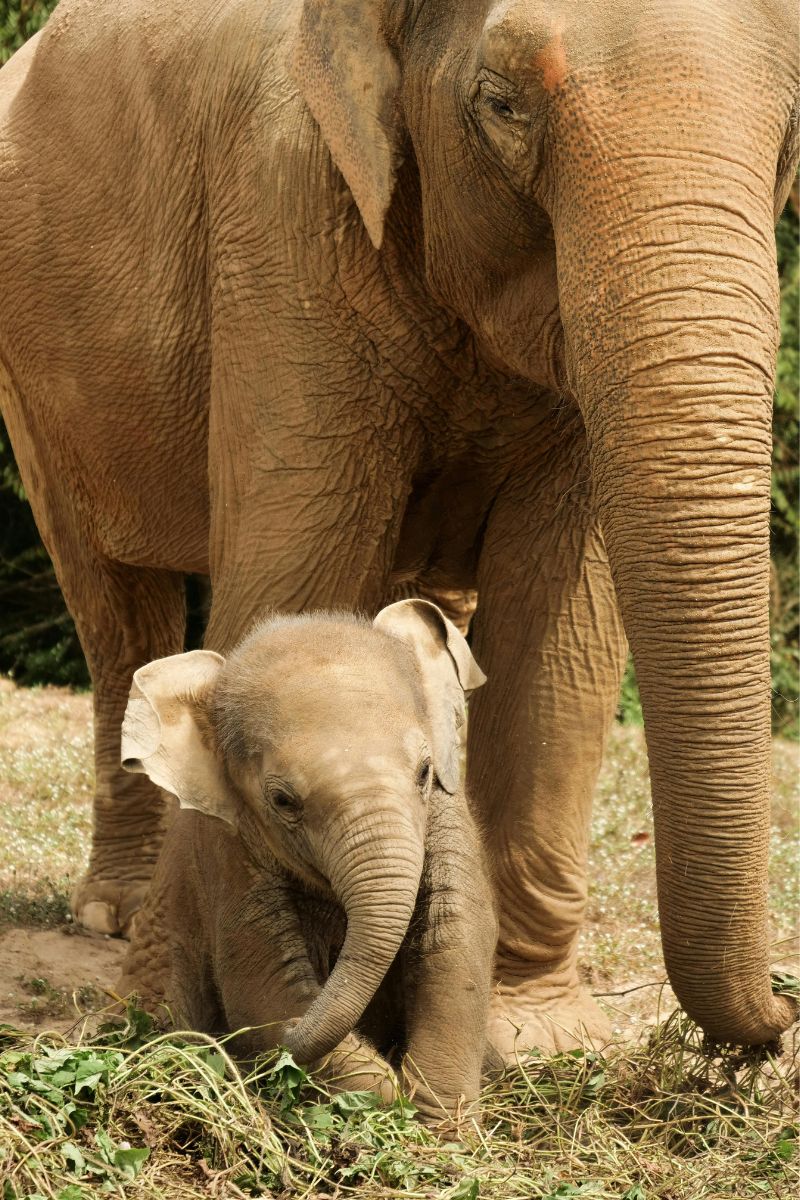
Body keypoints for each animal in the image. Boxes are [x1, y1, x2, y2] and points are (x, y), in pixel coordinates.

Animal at [0, 0, 797, 1060]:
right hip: (36, 378)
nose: (779, 1016)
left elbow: (560, 640)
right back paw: (113, 919)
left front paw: (537, 1038)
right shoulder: (286, 218)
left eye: (792, 135)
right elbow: (299, 575)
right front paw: (183, 1018)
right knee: (114, 604)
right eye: (501, 106)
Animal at [115, 599, 496, 1127]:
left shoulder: (448, 808)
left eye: (423, 772)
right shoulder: (228, 851)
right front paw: (385, 1101)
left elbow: (458, 941)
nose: (226, 1045)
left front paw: (438, 1126)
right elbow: (264, 988)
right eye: (281, 801)